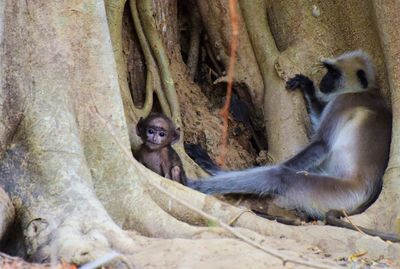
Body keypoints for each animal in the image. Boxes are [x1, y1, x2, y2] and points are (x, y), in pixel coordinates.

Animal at [188, 50, 390, 220]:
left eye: (334, 74)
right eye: (329, 71)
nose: (324, 79)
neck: (366, 91)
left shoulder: (343, 100)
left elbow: (321, 144)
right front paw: (308, 88)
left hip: (339, 194)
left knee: (278, 176)